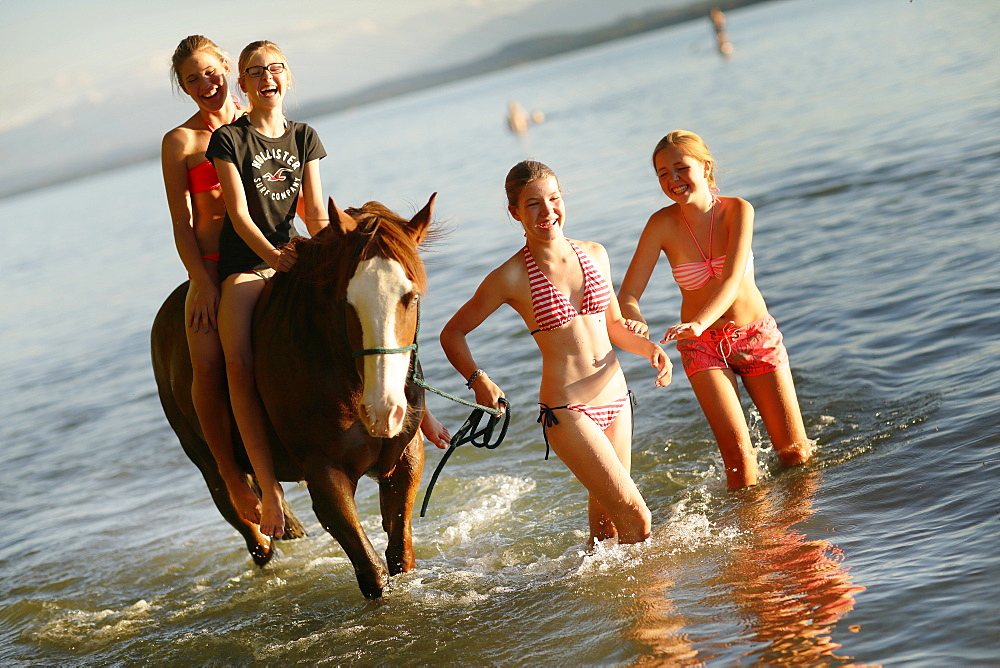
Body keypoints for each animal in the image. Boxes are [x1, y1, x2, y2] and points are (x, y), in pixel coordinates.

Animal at [153, 196, 438, 596]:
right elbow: (373, 574)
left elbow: (400, 556)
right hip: (210, 466)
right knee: (252, 533)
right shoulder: (324, 476)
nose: (382, 411)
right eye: (346, 301)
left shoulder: (405, 461)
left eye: (409, 297)